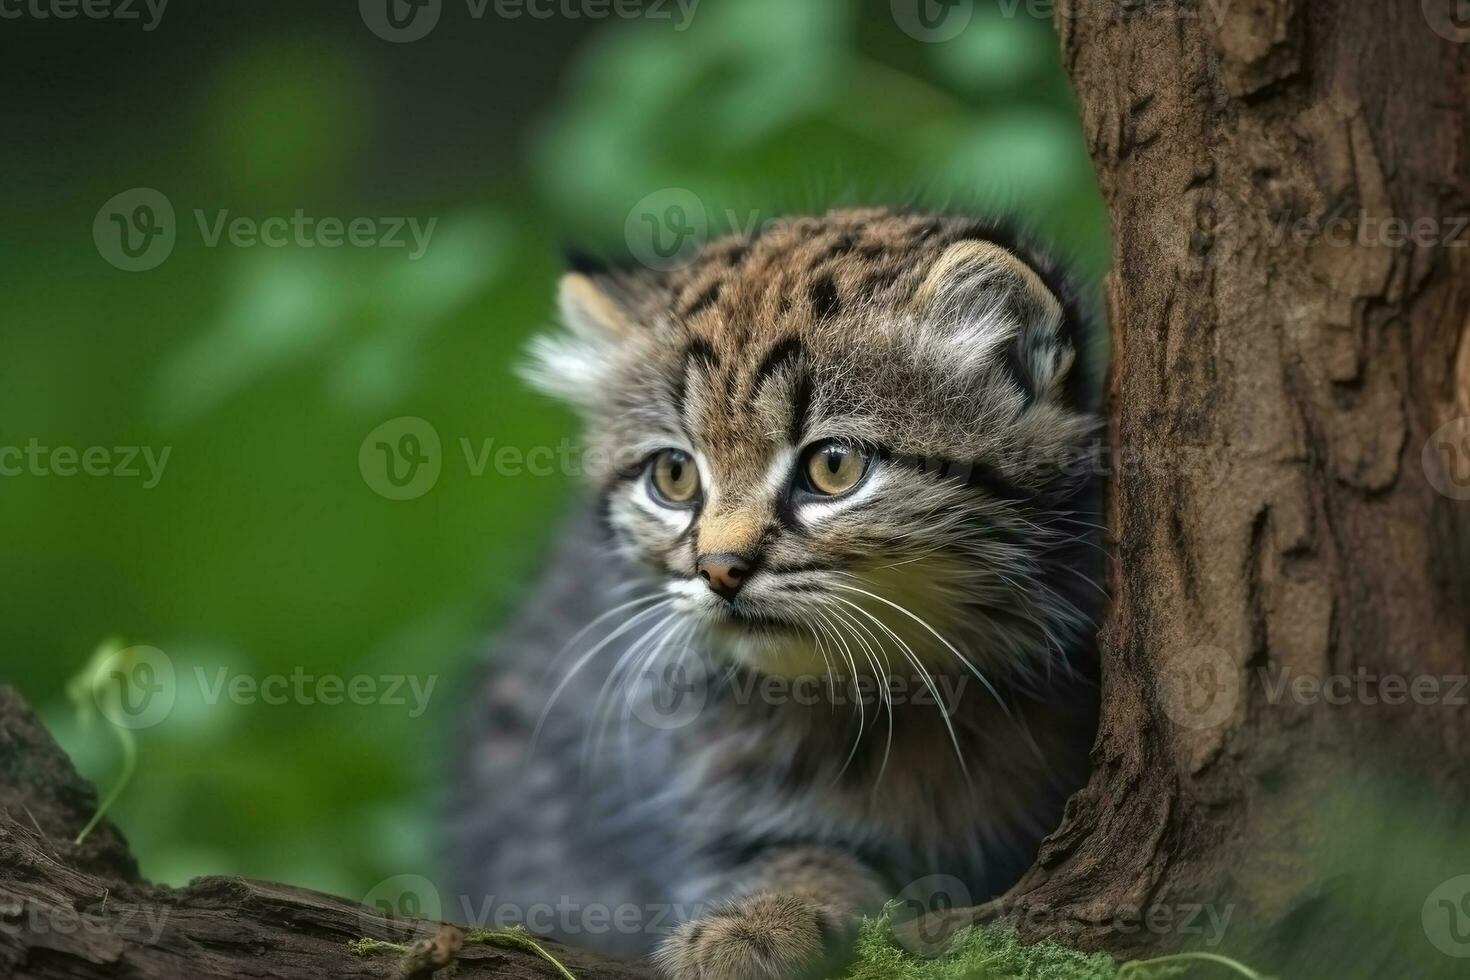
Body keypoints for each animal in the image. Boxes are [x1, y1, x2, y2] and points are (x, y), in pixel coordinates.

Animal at [446, 208, 1105, 980]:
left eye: (834, 467)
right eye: (674, 476)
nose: (719, 570)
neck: (897, 691)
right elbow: (782, 853)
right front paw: (757, 922)